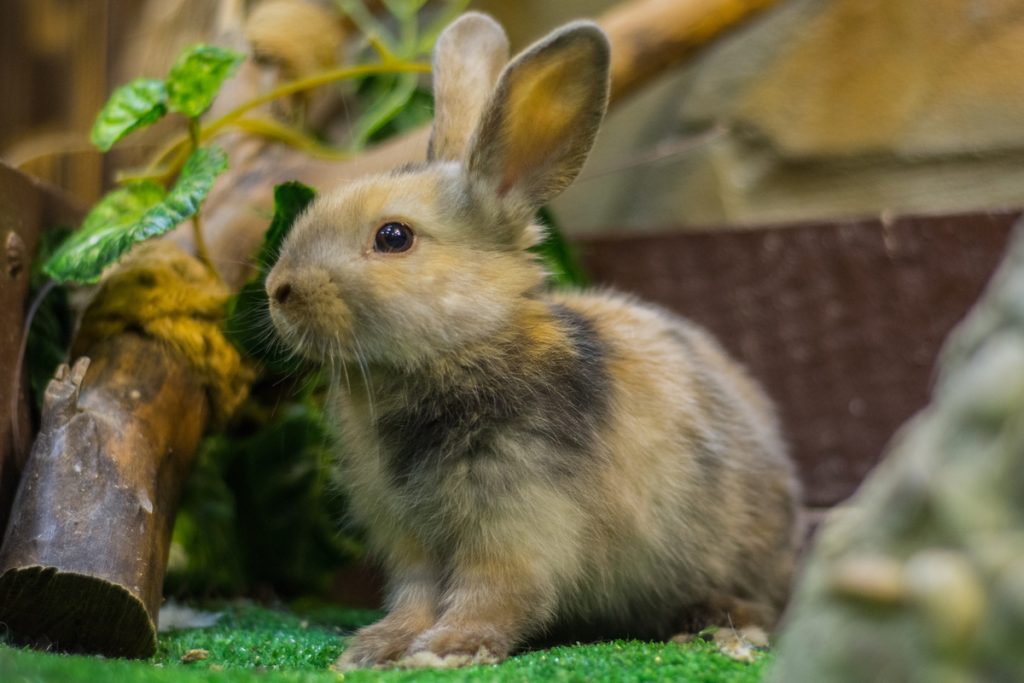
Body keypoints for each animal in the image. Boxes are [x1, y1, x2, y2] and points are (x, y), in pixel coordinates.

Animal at [265, 11, 801, 670]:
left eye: (393, 237)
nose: (278, 289)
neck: (456, 351)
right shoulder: (409, 539)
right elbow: (415, 597)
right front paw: (377, 649)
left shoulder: (516, 524)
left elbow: (495, 594)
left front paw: (446, 651)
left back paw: (718, 629)